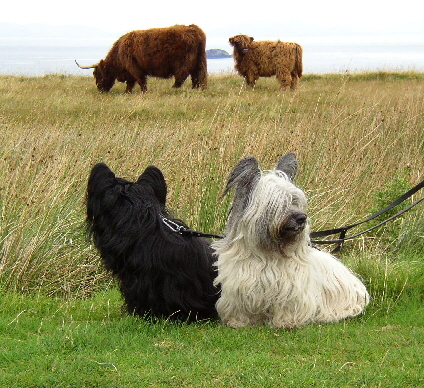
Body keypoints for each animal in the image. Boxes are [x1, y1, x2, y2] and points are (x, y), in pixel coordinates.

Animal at [77, 24, 209, 93]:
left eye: (97, 74)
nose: (100, 89)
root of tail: (193, 28)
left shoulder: (134, 68)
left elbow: (140, 81)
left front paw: (144, 92)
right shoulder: (130, 71)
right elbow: (131, 83)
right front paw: (127, 93)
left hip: (183, 63)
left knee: (181, 77)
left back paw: (172, 90)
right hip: (199, 62)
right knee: (197, 77)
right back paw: (195, 89)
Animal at [214, 155, 370, 328]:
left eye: (294, 200)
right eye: (277, 202)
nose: (302, 218)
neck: (268, 254)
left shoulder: (291, 288)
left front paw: (285, 322)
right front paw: (238, 322)